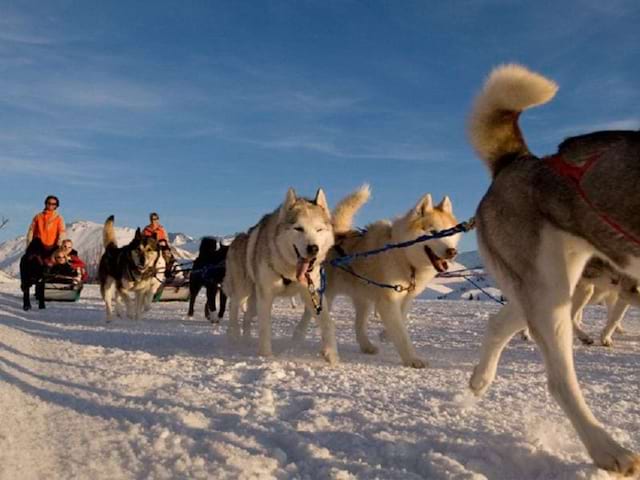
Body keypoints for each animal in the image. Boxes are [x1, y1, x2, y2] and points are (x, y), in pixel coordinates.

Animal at [222, 188, 338, 364]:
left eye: (319, 229)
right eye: (298, 228)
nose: (313, 248)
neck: (290, 270)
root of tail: (236, 240)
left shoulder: (312, 293)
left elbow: (327, 323)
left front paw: (332, 355)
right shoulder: (266, 296)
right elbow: (265, 328)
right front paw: (265, 356)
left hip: (254, 303)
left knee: (247, 317)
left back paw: (247, 339)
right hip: (243, 291)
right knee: (233, 307)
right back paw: (233, 336)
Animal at [292, 186, 458, 366]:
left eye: (450, 233)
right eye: (433, 232)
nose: (452, 252)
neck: (403, 255)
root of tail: (338, 233)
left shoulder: (404, 296)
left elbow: (402, 318)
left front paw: (385, 334)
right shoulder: (388, 301)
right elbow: (402, 334)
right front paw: (412, 359)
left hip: (363, 300)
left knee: (358, 325)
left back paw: (366, 346)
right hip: (326, 295)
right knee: (311, 315)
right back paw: (299, 337)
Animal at [464, 63, 640, 472]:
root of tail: (522, 161)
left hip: (546, 288)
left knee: (499, 323)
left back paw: (481, 379)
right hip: (549, 291)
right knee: (560, 380)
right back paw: (607, 449)